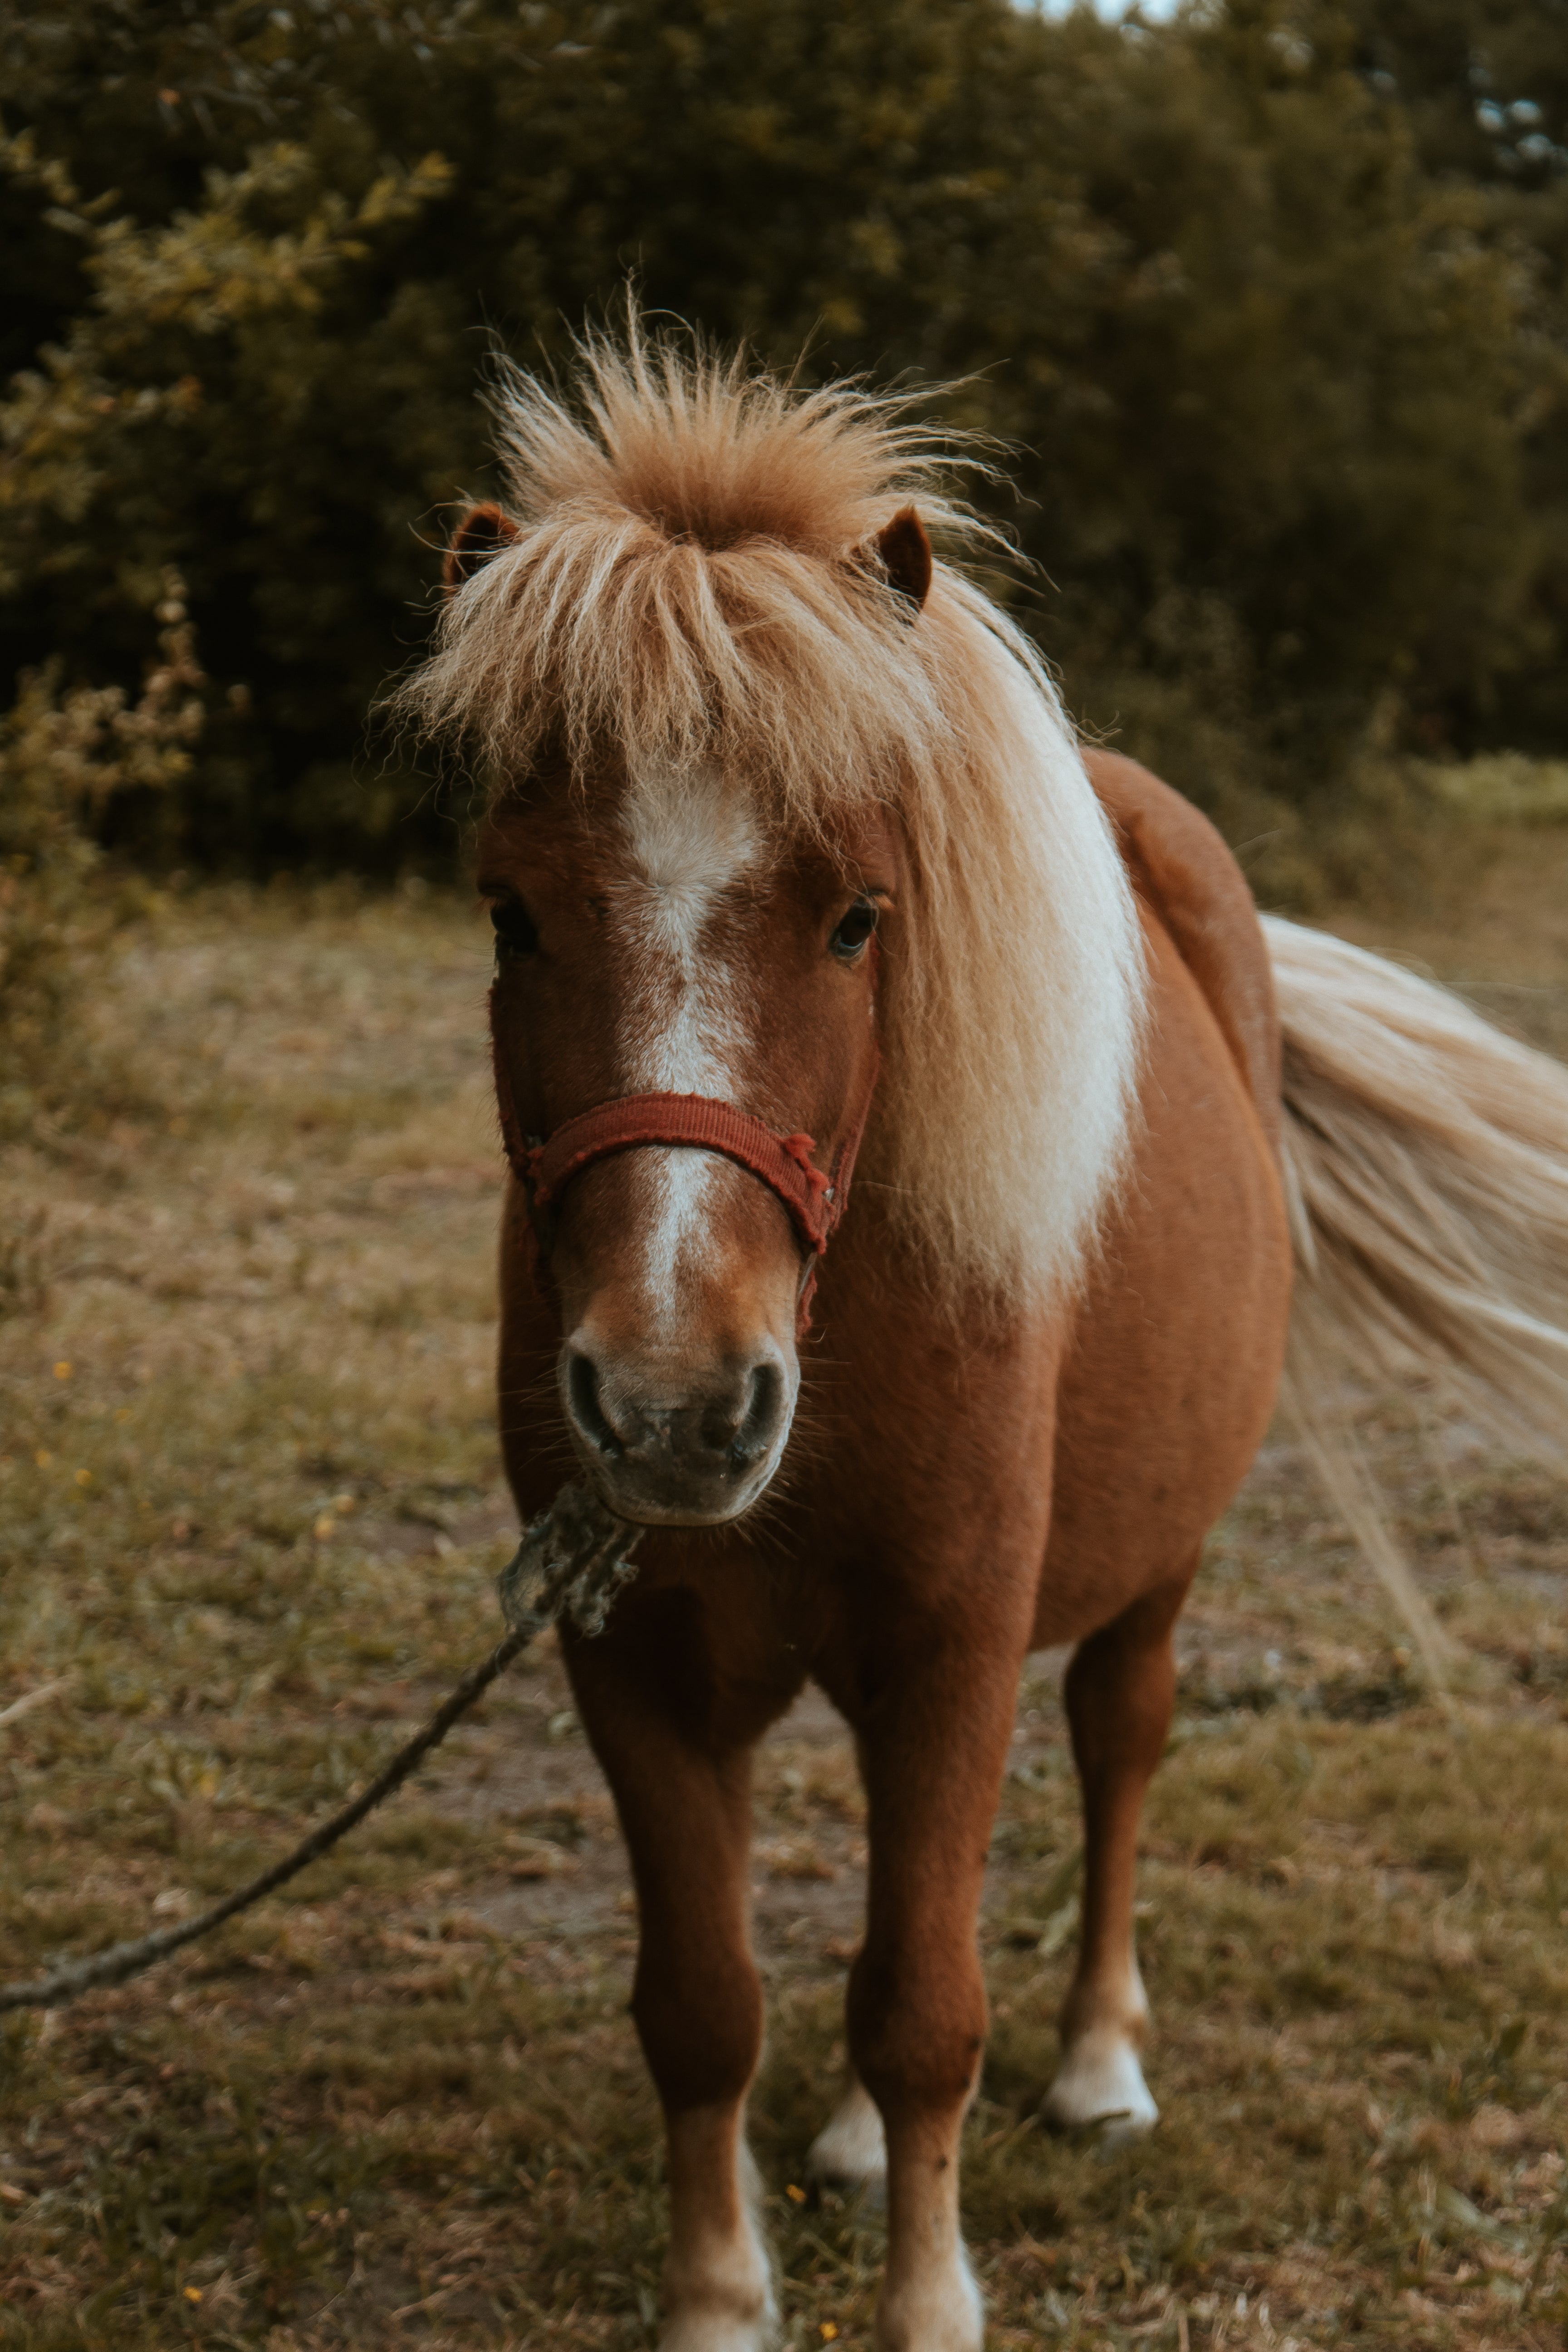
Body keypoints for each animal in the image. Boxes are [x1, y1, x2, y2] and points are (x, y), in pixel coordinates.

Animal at [395, 327, 1568, 2352]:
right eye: (510, 911)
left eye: (861, 917)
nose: (674, 1404)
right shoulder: (632, 1660)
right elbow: (706, 2008)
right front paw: (719, 2298)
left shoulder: (951, 1638)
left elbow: (928, 2005)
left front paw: (930, 2301)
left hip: (1153, 1567)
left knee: (1116, 1745)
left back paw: (1097, 2065)